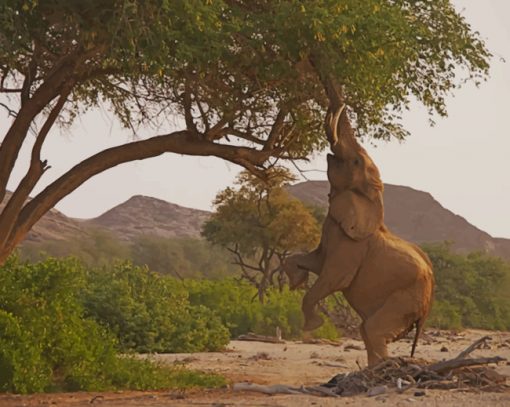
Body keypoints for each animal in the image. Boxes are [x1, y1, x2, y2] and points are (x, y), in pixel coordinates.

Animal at [282, 102, 434, 366]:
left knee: (373, 330)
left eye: (355, 162)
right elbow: (315, 262)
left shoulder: (353, 246)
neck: (373, 197)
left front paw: (314, 324)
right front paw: (296, 280)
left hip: (408, 297)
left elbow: (334, 277)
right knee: (367, 330)